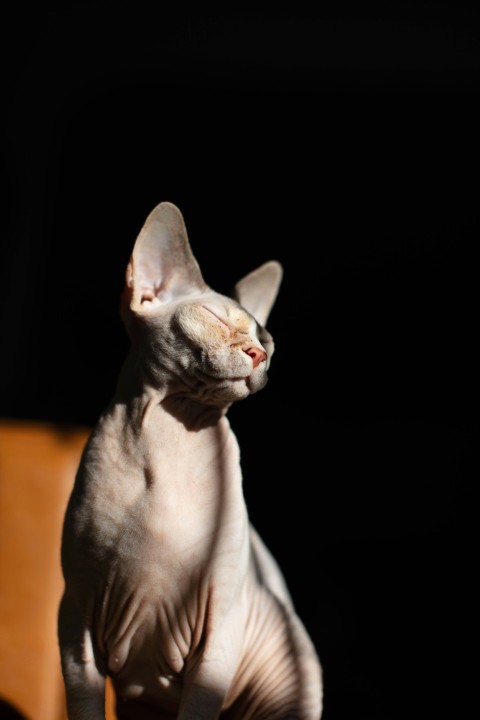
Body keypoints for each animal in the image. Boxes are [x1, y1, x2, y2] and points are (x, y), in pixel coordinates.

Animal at [59, 202, 322, 720]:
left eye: (267, 339)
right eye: (215, 316)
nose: (258, 354)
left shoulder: (218, 634)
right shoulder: (75, 623)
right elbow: (85, 705)